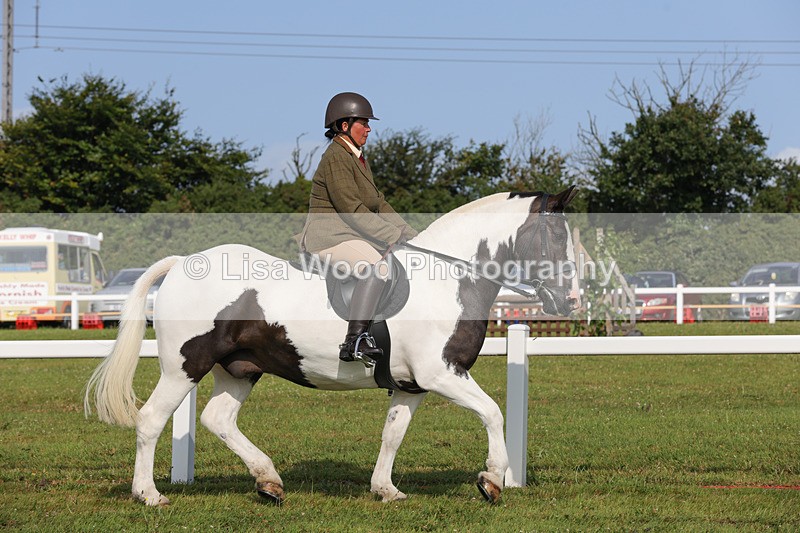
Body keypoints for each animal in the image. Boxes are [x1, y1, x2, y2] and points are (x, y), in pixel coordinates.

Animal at [84, 186, 580, 506]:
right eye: (558, 237)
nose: (571, 301)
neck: (448, 278)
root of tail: (183, 262)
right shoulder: (441, 374)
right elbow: (493, 412)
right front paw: (491, 481)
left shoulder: (412, 385)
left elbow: (393, 433)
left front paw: (385, 489)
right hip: (185, 365)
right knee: (152, 419)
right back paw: (149, 495)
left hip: (240, 368)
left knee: (217, 419)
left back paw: (269, 481)